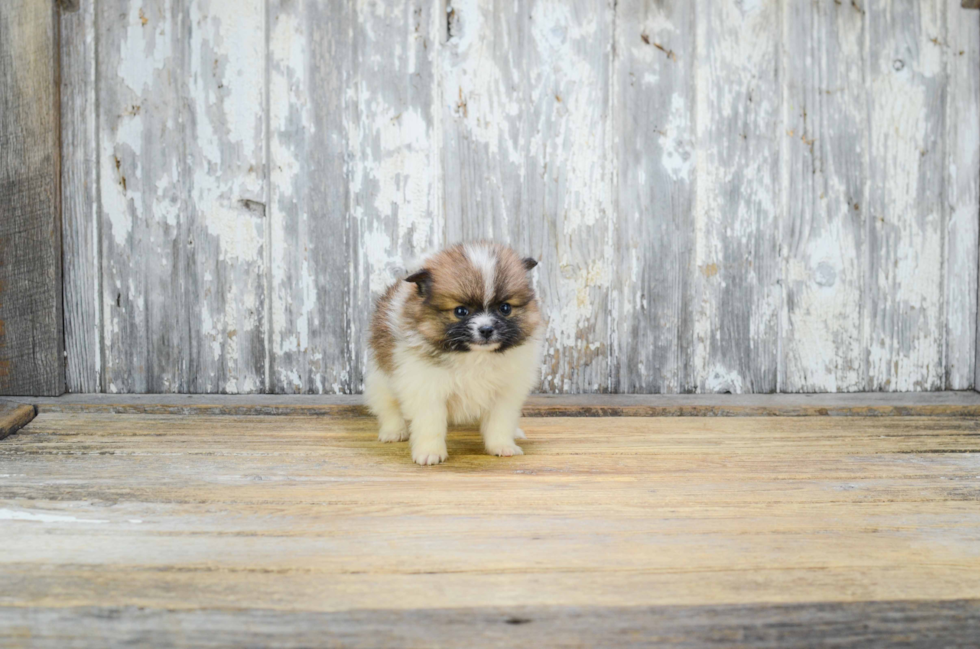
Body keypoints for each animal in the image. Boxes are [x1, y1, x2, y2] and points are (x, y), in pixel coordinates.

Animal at [366, 240, 544, 464]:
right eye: (461, 311)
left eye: (505, 308)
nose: (486, 329)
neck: (473, 355)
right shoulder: (426, 388)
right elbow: (430, 424)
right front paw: (430, 452)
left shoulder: (505, 392)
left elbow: (500, 422)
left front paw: (503, 446)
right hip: (382, 380)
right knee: (388, 406)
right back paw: (393, 432)